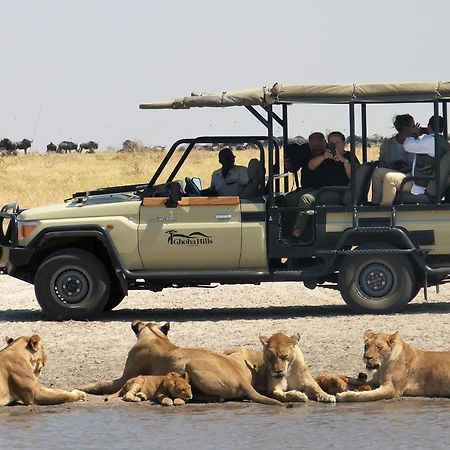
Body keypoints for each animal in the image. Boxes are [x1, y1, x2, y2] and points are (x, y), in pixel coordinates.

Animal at [78, 322, 282, 406]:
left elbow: (102, 383)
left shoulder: (126, 376)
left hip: (191, 365)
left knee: (216, 398)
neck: (155, 336)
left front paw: (83, 387)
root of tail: (243, 381)